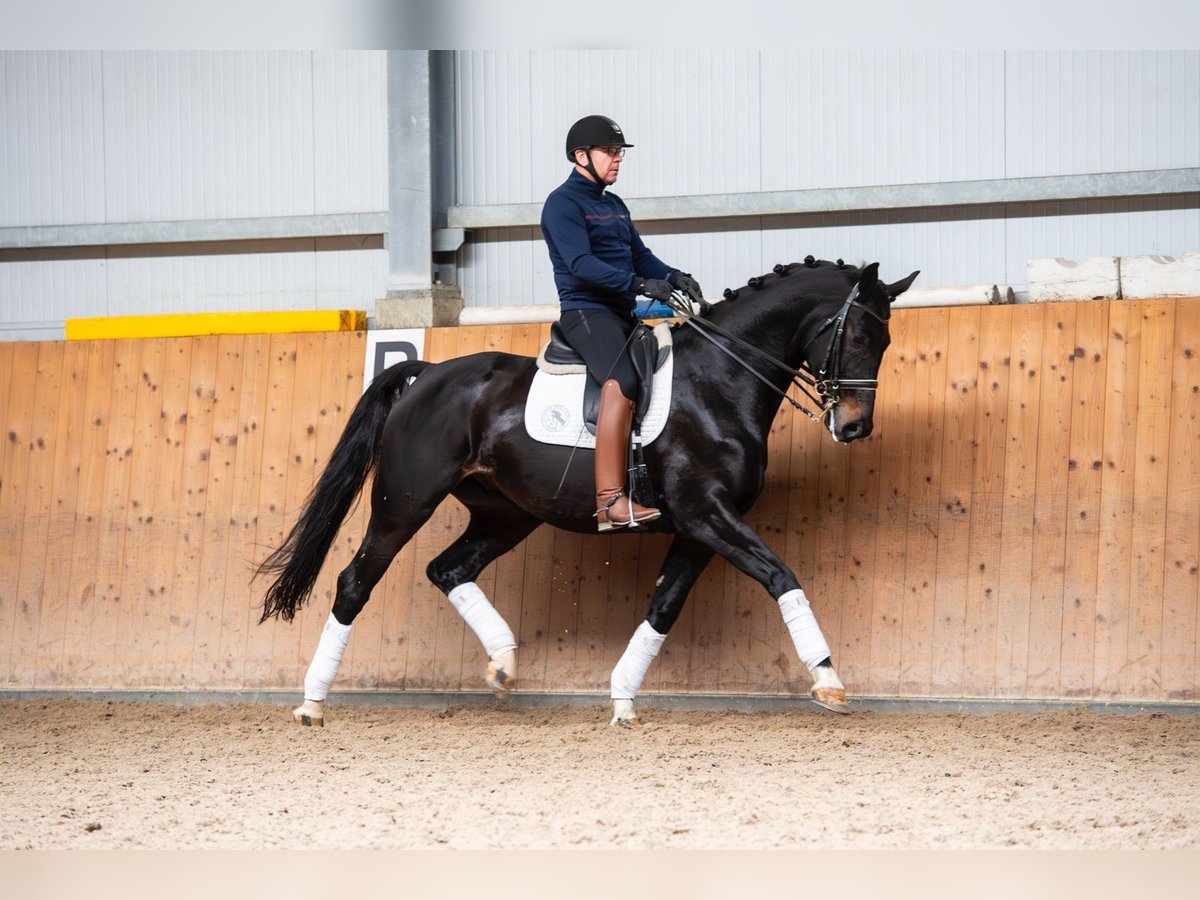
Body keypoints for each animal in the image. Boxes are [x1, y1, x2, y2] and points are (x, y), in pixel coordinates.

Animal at [258, 254, 916, 724]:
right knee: (355, 582)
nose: (853, 427)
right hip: (405, 502)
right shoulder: (705, 514)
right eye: (859, 338)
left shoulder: (701, 526)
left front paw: (622, 698)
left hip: (506, 514)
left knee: (447, 570)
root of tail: (428, 375)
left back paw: (503, 663)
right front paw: (828, 680)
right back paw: (312, 703)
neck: (719, 380)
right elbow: (782, 575)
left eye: (885, 343)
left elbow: (664, 605)